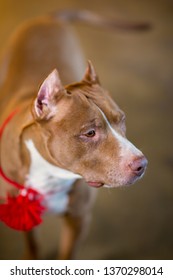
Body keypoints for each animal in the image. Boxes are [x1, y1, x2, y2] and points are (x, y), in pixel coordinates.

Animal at [0, 9, 148, 260]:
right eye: (90, 133)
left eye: (122, 119)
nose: (142, 164)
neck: (50, 174)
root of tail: (49, 17)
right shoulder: (22, 214)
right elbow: (33, 245)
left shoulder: (79, 219)